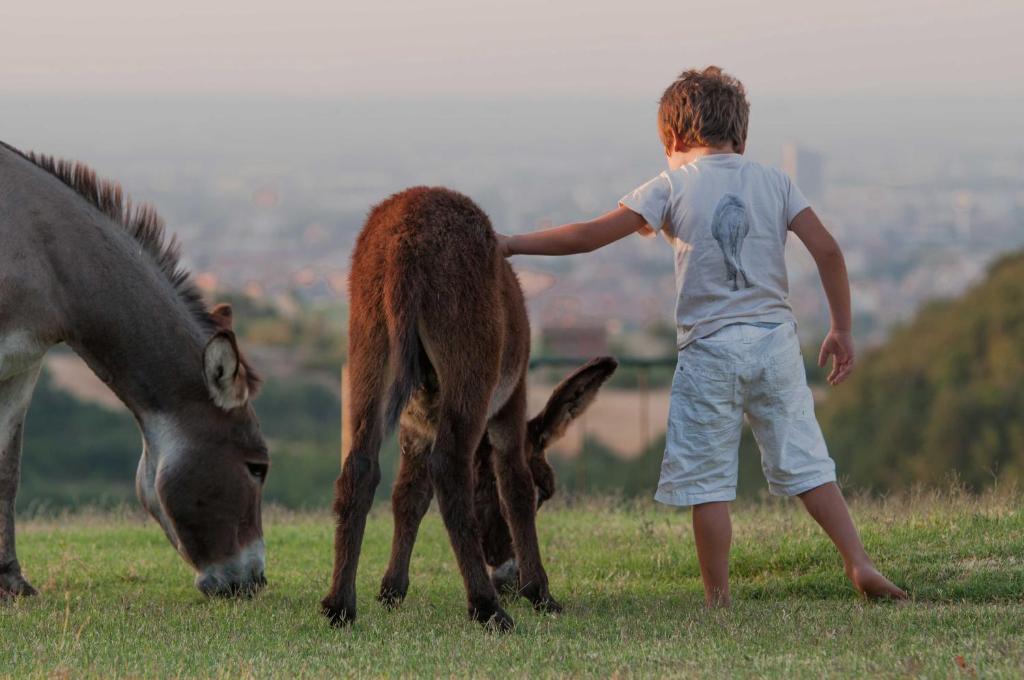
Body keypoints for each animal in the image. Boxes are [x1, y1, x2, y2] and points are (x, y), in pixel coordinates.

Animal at [319, 187, 610, 630]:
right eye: (546, 493)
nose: (506, 579)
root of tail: (406, 237)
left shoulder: (416, 428)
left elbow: (409, 496)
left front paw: (391, 589)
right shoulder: (511, 403)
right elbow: (514, 486)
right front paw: (539, 593)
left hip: (369, 351)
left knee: (360, 466)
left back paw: (340, 605)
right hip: (469, 361)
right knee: (450, 468)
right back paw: (486, 607)